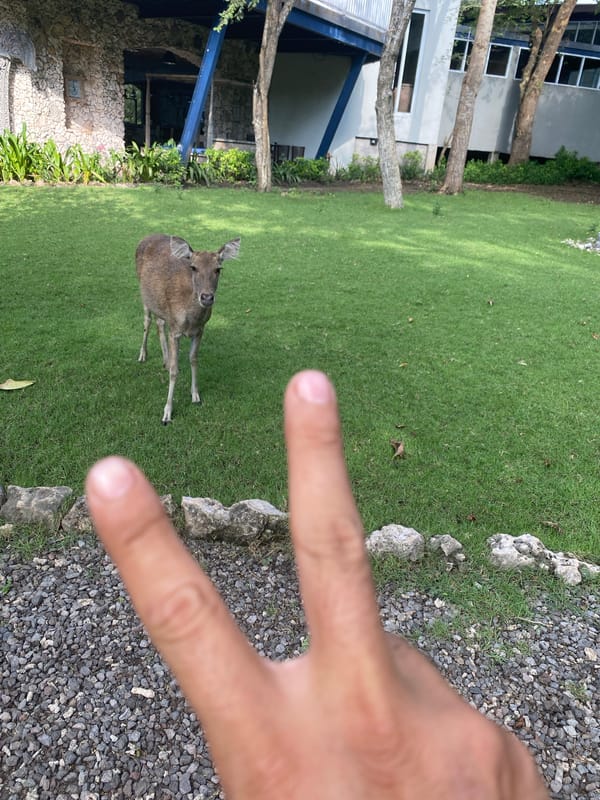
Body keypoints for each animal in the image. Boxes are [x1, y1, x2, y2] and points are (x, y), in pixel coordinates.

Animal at [136, 233, 241, 424]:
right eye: (193, 267)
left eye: (218, 269)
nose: (206, 297)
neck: (190, 319)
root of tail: (147, 236)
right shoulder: (175, 331)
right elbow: (174, 371)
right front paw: (167, 413)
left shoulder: (199, 331)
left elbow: (193, 359)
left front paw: (195, 396)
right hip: (144, 296)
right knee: (147, 322)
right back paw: (143, 355)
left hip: (160, 307)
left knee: (159, 323)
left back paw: (165, 359)